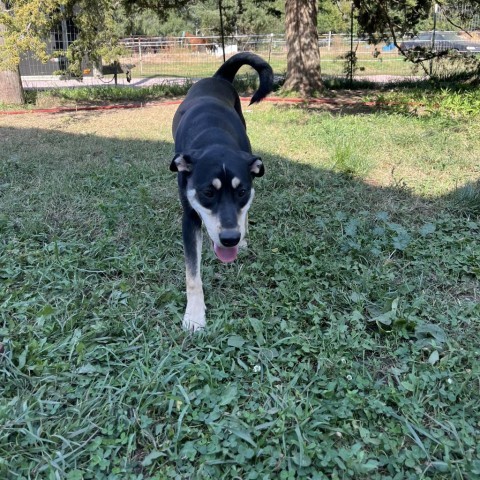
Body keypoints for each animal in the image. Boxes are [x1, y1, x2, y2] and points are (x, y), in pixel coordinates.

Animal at [171, 52, 272, 330]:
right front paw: (194, 316)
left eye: (242, 192)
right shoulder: (189, 217)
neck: (214, 139)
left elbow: (244, 214)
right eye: (208, 192)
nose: (230, 239)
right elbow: (192, 274)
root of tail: (218, 77)